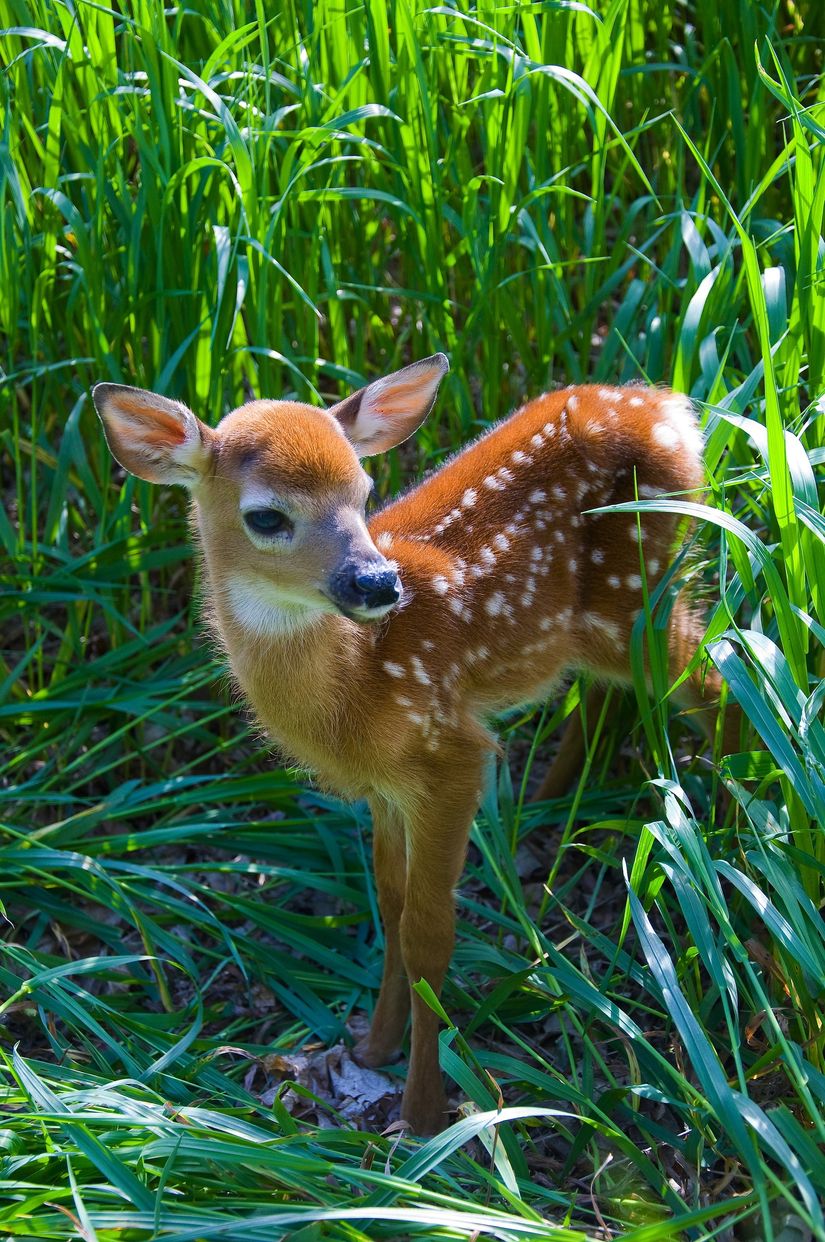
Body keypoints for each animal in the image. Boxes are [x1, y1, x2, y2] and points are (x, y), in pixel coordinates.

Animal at [92, 355, 733, 1135]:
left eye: (364, 493)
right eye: (267, 515)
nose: (376, 582)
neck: (357, 688)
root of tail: (669, 409)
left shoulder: (451, 754)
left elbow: (429, 932)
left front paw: (426, 1112)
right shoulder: (386, 787)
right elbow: (390, 907)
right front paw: (372, 1048)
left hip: (636, 587)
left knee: (717, 679)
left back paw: (731, 822)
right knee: (620, 692)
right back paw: (550, 813)